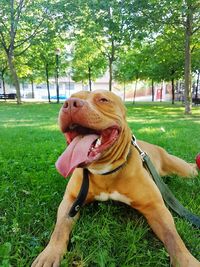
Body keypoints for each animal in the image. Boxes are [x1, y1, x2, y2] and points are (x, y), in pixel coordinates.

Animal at [32, 90, 199, 267]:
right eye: (72, 97)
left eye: (103, 100)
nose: (70, 103)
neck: (104, 171)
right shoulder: (71, 201)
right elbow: (59, 229)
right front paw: (50, 254)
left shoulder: (155, 207)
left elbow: (173, 237)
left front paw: (187, 260)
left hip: (182, 169)